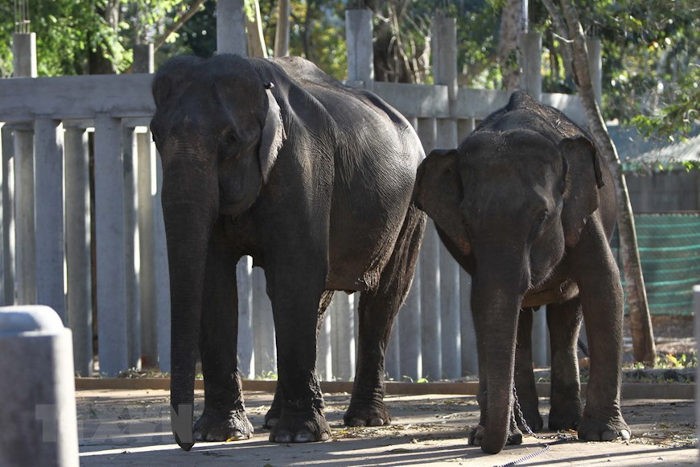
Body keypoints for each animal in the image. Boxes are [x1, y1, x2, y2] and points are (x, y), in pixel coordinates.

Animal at [150, 54, 424, 450]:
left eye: (231, 139)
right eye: (155, 135)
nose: (185, 444)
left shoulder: (301, 165)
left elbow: (296, 274)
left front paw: (298, 437)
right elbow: (215, 282)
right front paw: (219, 434)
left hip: (410, 210)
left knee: (384, 297)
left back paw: (365, 419)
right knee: (314, 301)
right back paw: (275, 419)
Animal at [412, 90, 632, 454]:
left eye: (541, 217)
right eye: (467, 220)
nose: (483, 441)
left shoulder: (585, 216)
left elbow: (605, 287)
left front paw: (606, 435)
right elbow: (484, 307)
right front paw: (495, 435)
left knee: (566, 315)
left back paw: (564, 423)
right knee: (525, 323)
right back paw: (533, 423)